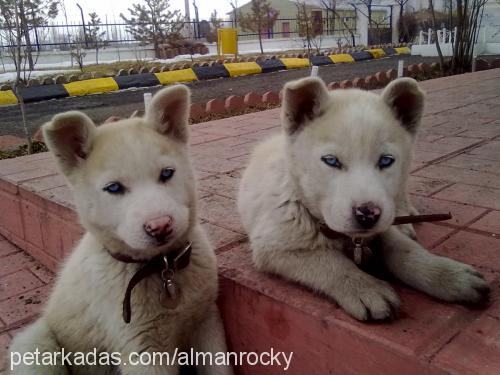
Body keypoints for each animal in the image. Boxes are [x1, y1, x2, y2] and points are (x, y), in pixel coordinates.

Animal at [8, 86, 233, 375]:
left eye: (167, 173)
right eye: (114, 188)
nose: (160, 226)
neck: (162, 268)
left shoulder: (206, 321)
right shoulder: (143, 351)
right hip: (34, 346)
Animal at [237, 78, 488, 322]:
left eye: (386, 161)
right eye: (331, 161)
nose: (367, 214)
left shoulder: (383, 224)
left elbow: (404, 249)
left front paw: (447, 274)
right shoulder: (274, 247)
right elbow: (330, 262)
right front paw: (366, 288)